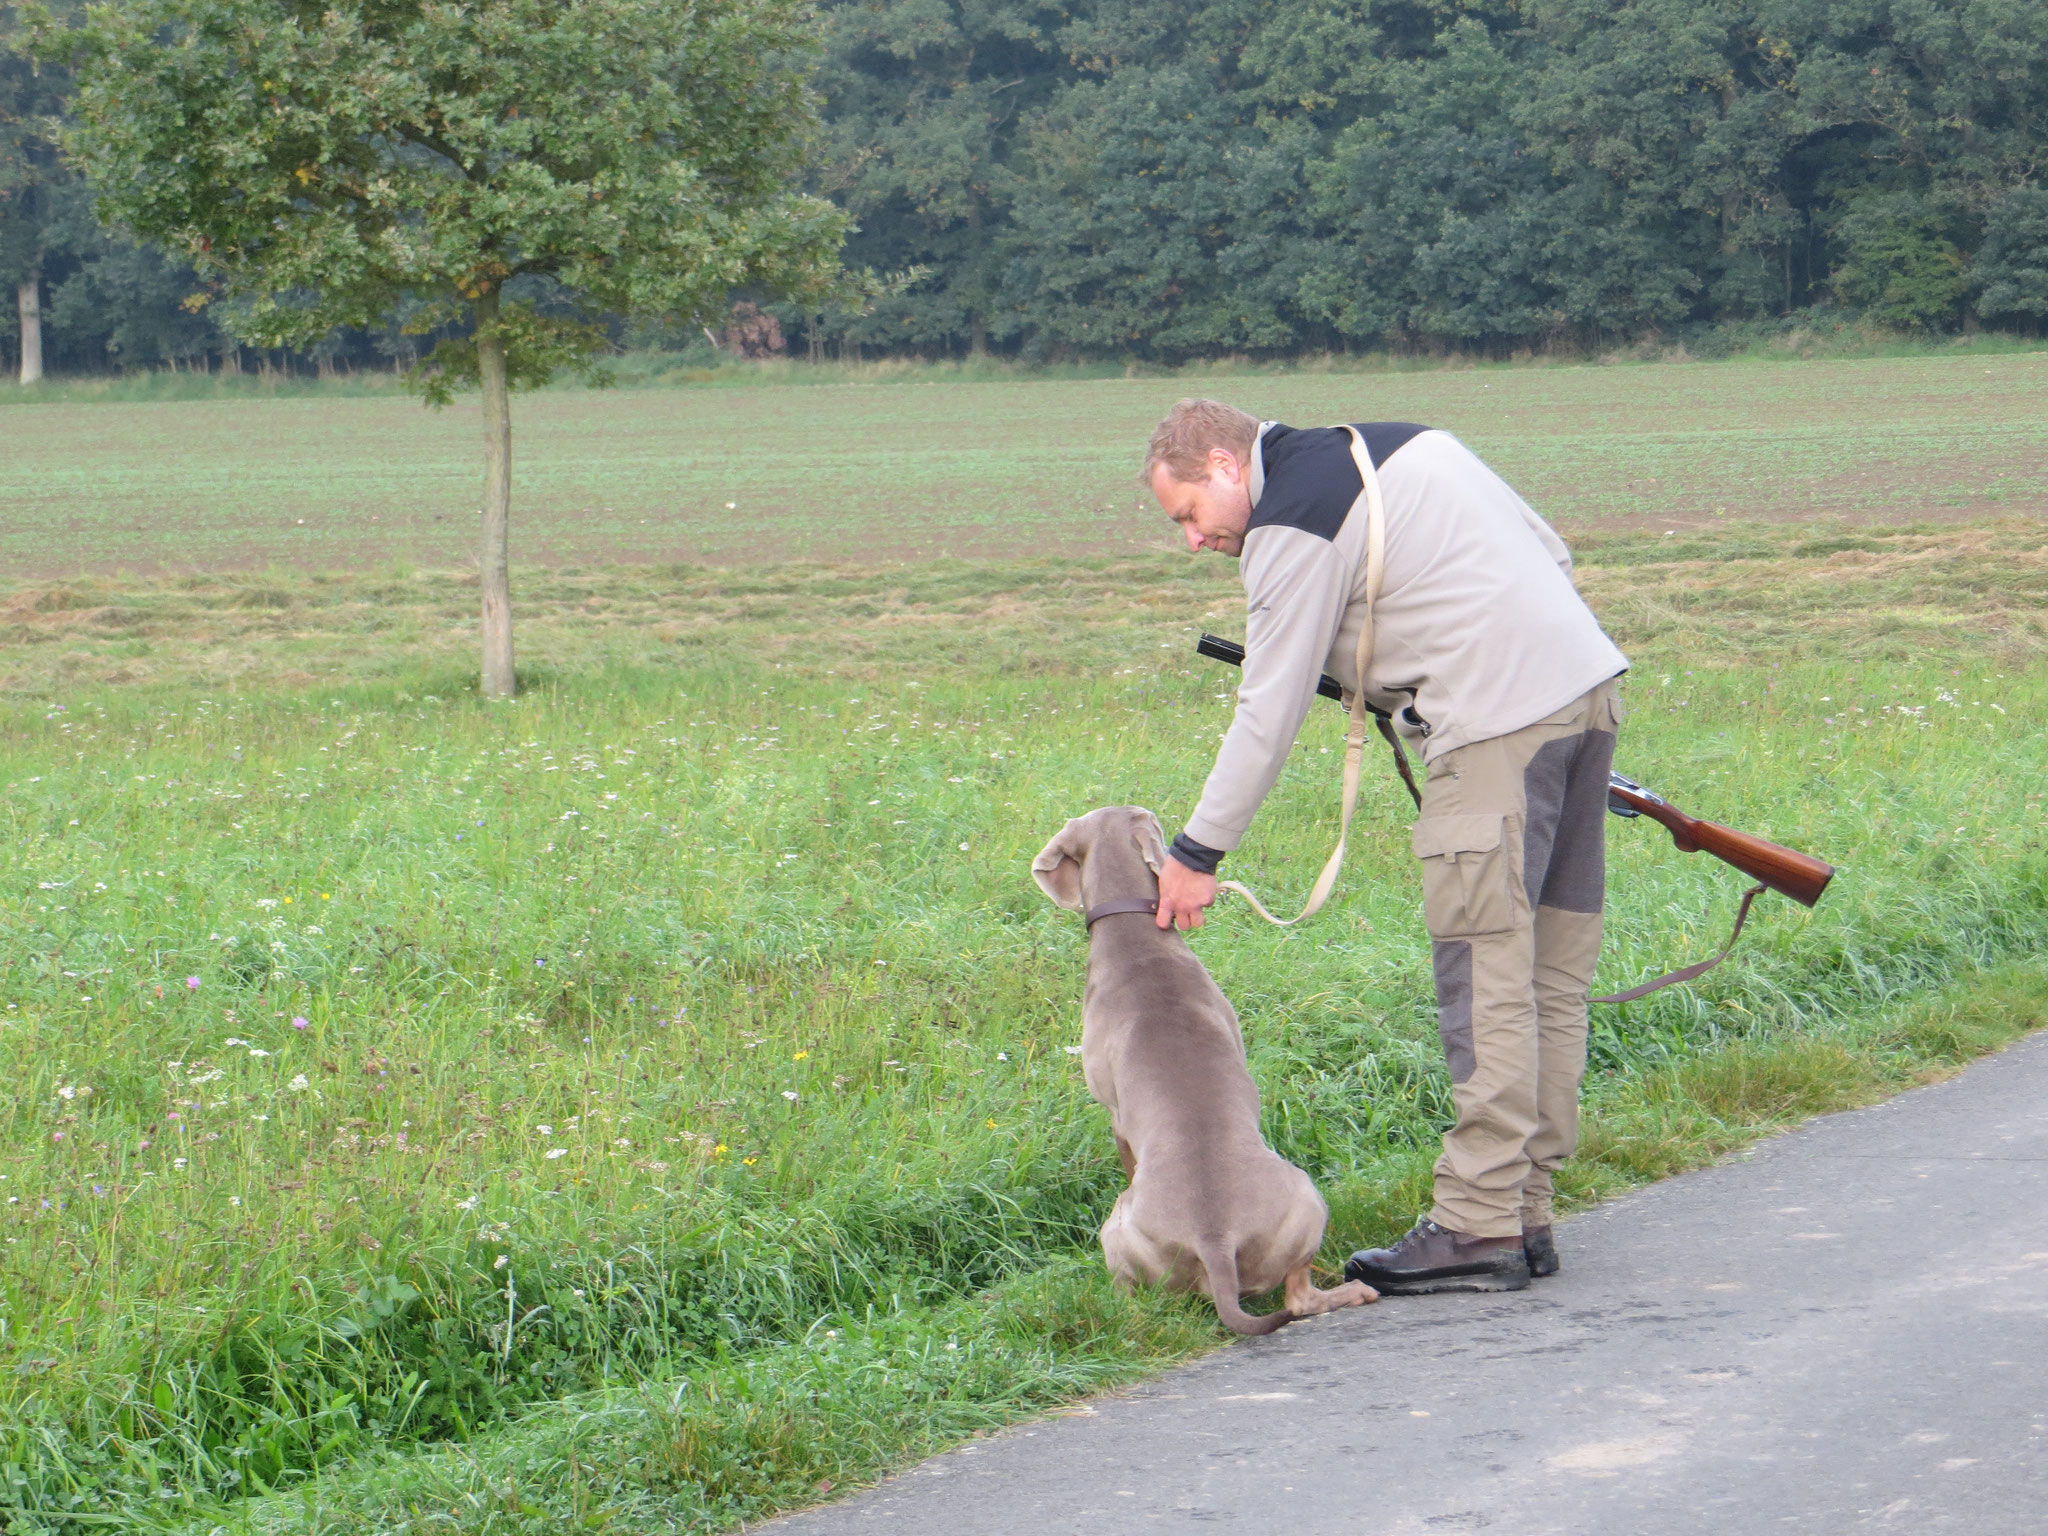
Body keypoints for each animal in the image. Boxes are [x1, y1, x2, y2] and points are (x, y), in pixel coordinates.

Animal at [1024, 806, 1376, 1335]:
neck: (1131, 934)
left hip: (1117, 1227)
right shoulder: (1116, 1113)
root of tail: (1214, 1242)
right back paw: (1353, 1288)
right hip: (1306, 1195)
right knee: (1298, 1297)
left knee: (1131, 1297)